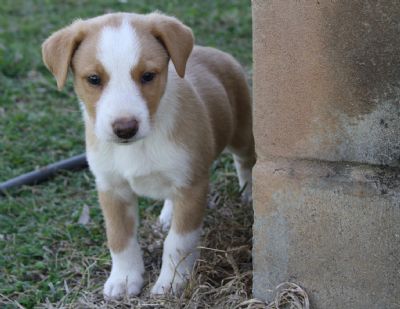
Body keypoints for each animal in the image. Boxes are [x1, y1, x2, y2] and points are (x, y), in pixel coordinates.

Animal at [42, 12, 255, 298]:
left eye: (148, 75)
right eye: (94, 79)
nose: (125, 128)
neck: (137, 145)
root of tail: (215, 51)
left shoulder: (192, 185)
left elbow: (178, 242)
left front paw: (172, 282)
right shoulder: (111, 188)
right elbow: (119, 239)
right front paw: (124, 279)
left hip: (242, 132)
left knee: (246, 161)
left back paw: (249, 193)